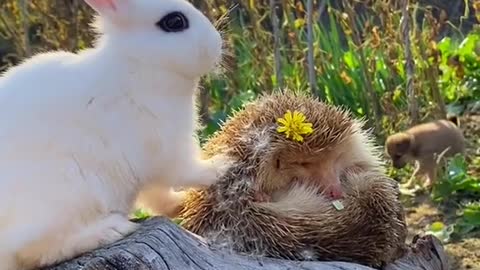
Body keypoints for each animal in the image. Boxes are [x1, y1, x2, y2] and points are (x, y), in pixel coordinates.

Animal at [0, 0, 223, 268]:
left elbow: (158, 197)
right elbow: (187, 172)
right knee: (31, 249)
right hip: (71, 192)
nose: (217, 43)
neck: (139, 65)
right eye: (175, 22)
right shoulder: (168, 149)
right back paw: (110, 230)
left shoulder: (148, 174)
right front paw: (220, 165)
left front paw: (181, 204)